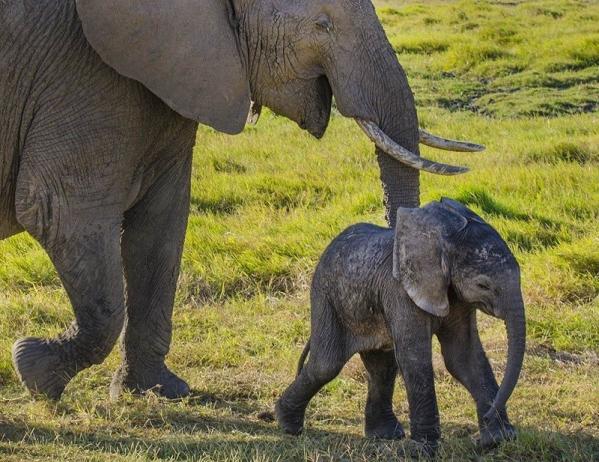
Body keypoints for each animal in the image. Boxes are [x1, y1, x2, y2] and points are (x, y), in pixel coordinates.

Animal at [1, 0, 482, 398]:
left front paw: (160, 391)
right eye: (323, 25)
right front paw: (34, 370)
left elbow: (160, 227)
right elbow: (61, 214)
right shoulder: (77, 77)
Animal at [276, 197, 524, 452]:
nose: (487, 417)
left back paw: (384, 435)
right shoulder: (400, 291)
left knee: (382, 368)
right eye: (483, 285)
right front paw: (423, 450)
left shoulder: (457, 298)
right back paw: (287, 425)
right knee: (326, 364)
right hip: (326, 297)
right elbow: (414, 358)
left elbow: (463, 357)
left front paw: (497, 439)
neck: (442, 236)